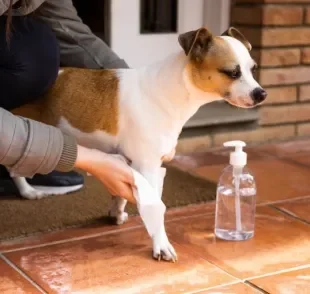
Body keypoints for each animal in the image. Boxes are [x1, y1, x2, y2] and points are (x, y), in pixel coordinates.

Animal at [10, 27, 266, 262]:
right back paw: (28, 191)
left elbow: (121, 194)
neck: (167, 91)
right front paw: (161, 245)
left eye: (253, 69)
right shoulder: (148, 166)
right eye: (232, 72)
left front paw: (116, 212)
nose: (261, 93)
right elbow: (155, 208)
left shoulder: (134, 162)